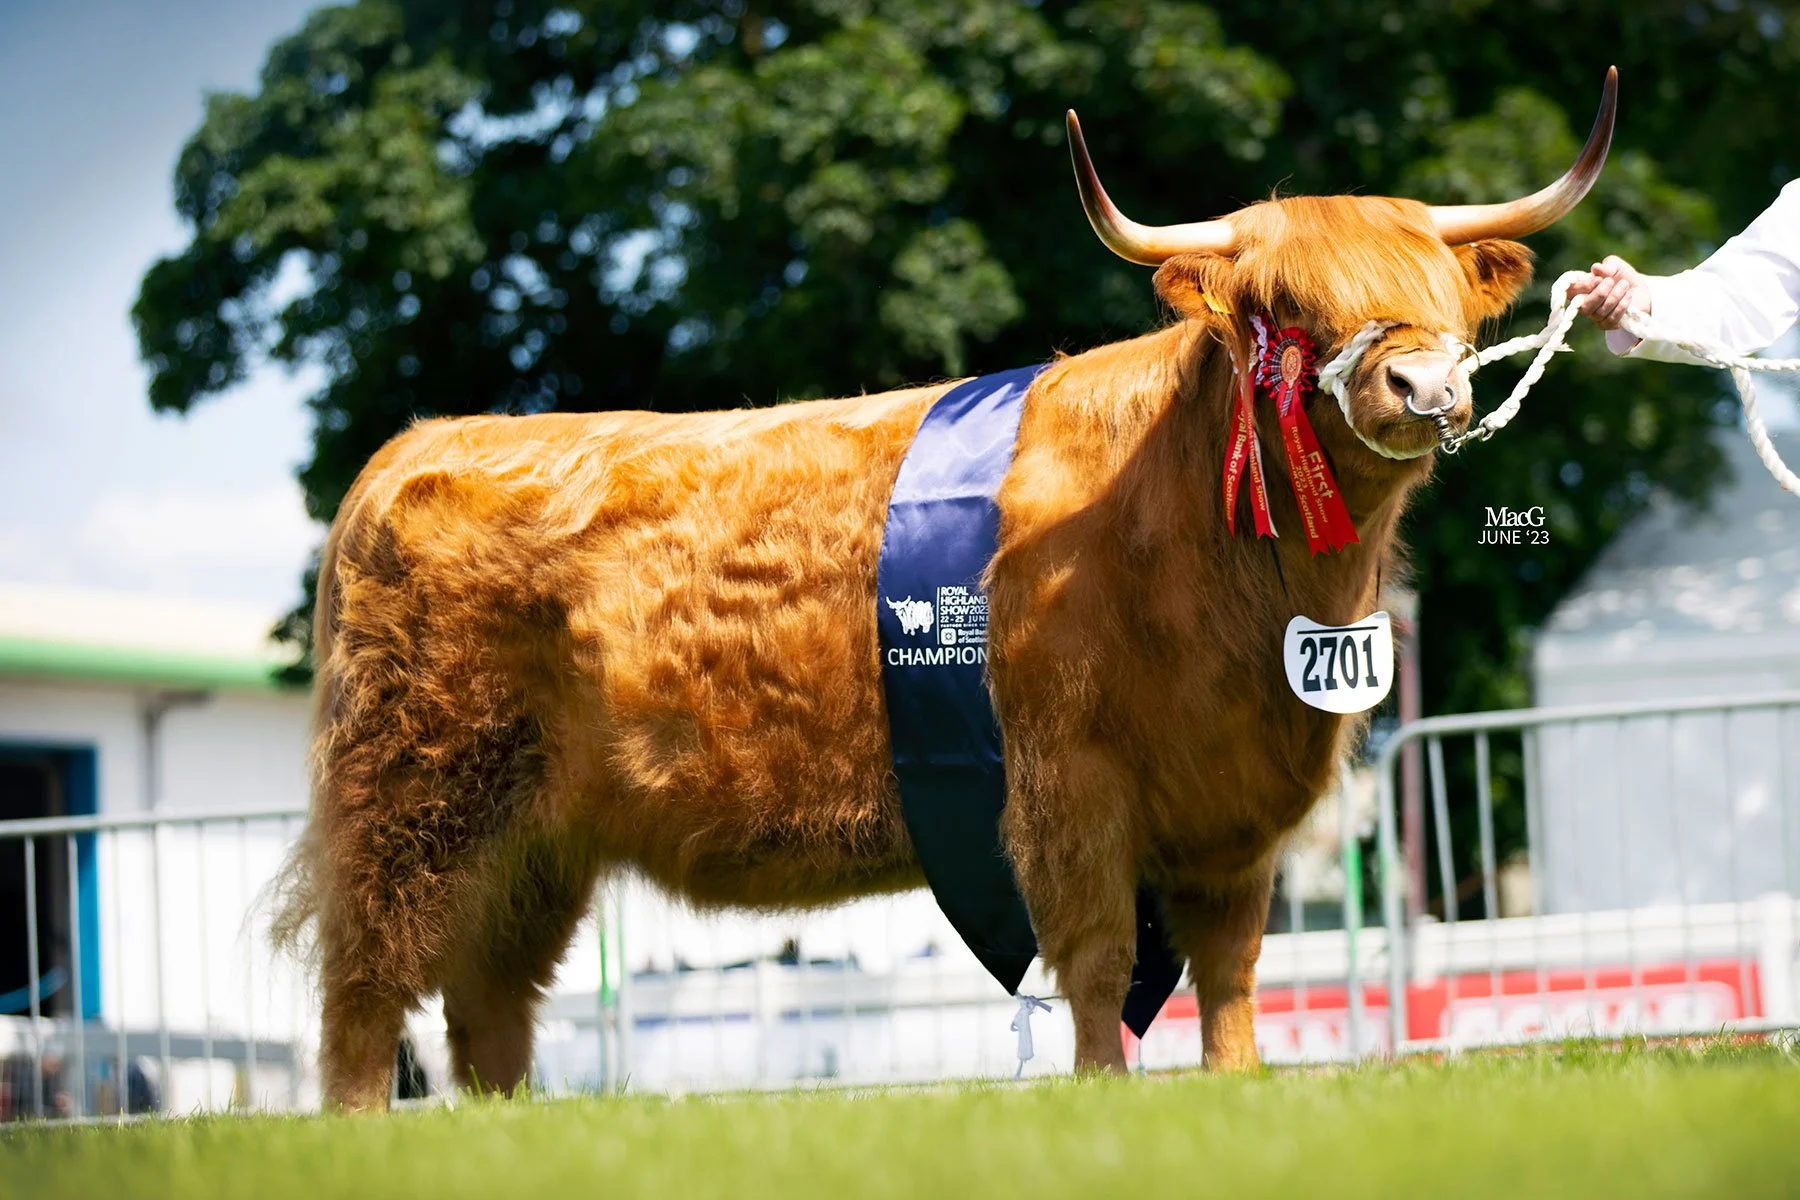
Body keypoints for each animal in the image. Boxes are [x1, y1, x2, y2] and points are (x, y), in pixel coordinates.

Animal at [277, 73, 1616, 1110]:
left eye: (1443, 295)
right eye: (1289, 309)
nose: (1426, 389)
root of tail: (414, 449)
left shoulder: (1235, 814)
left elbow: (1232, 974)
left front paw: (1238, 1091)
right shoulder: (1067, 786)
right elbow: (1094, 964)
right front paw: (1103, 1095)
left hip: (534, 844)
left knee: (489, 1004)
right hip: (411, 800)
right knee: (367, 985)